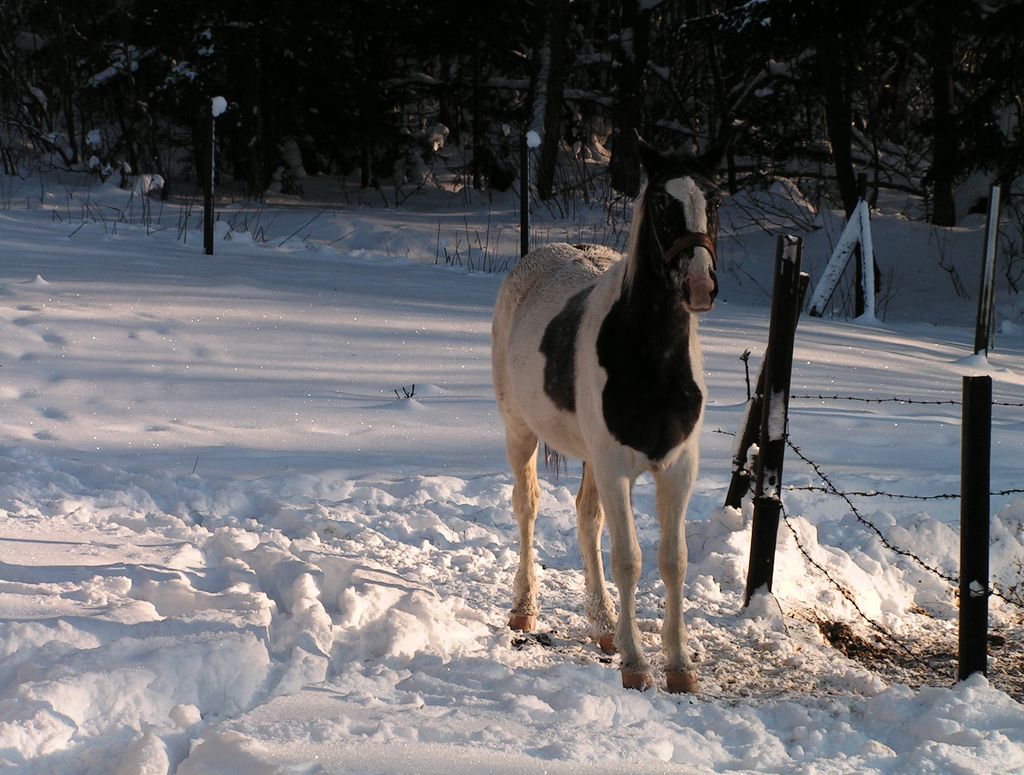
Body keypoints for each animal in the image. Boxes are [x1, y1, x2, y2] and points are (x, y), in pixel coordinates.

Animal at [489, 142, 720, 692]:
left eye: (715, 200)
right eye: (660, 202)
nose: (699, 284)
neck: (652, 362)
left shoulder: (677, 470)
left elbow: (673, 562)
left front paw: (679, 667)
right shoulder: (617, 469)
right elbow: (630, 560)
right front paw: (636, 665)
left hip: (591, 457)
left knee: (586, 518)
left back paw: (603, 625)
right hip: (520, 432)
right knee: (527, 508)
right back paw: (525, 609)